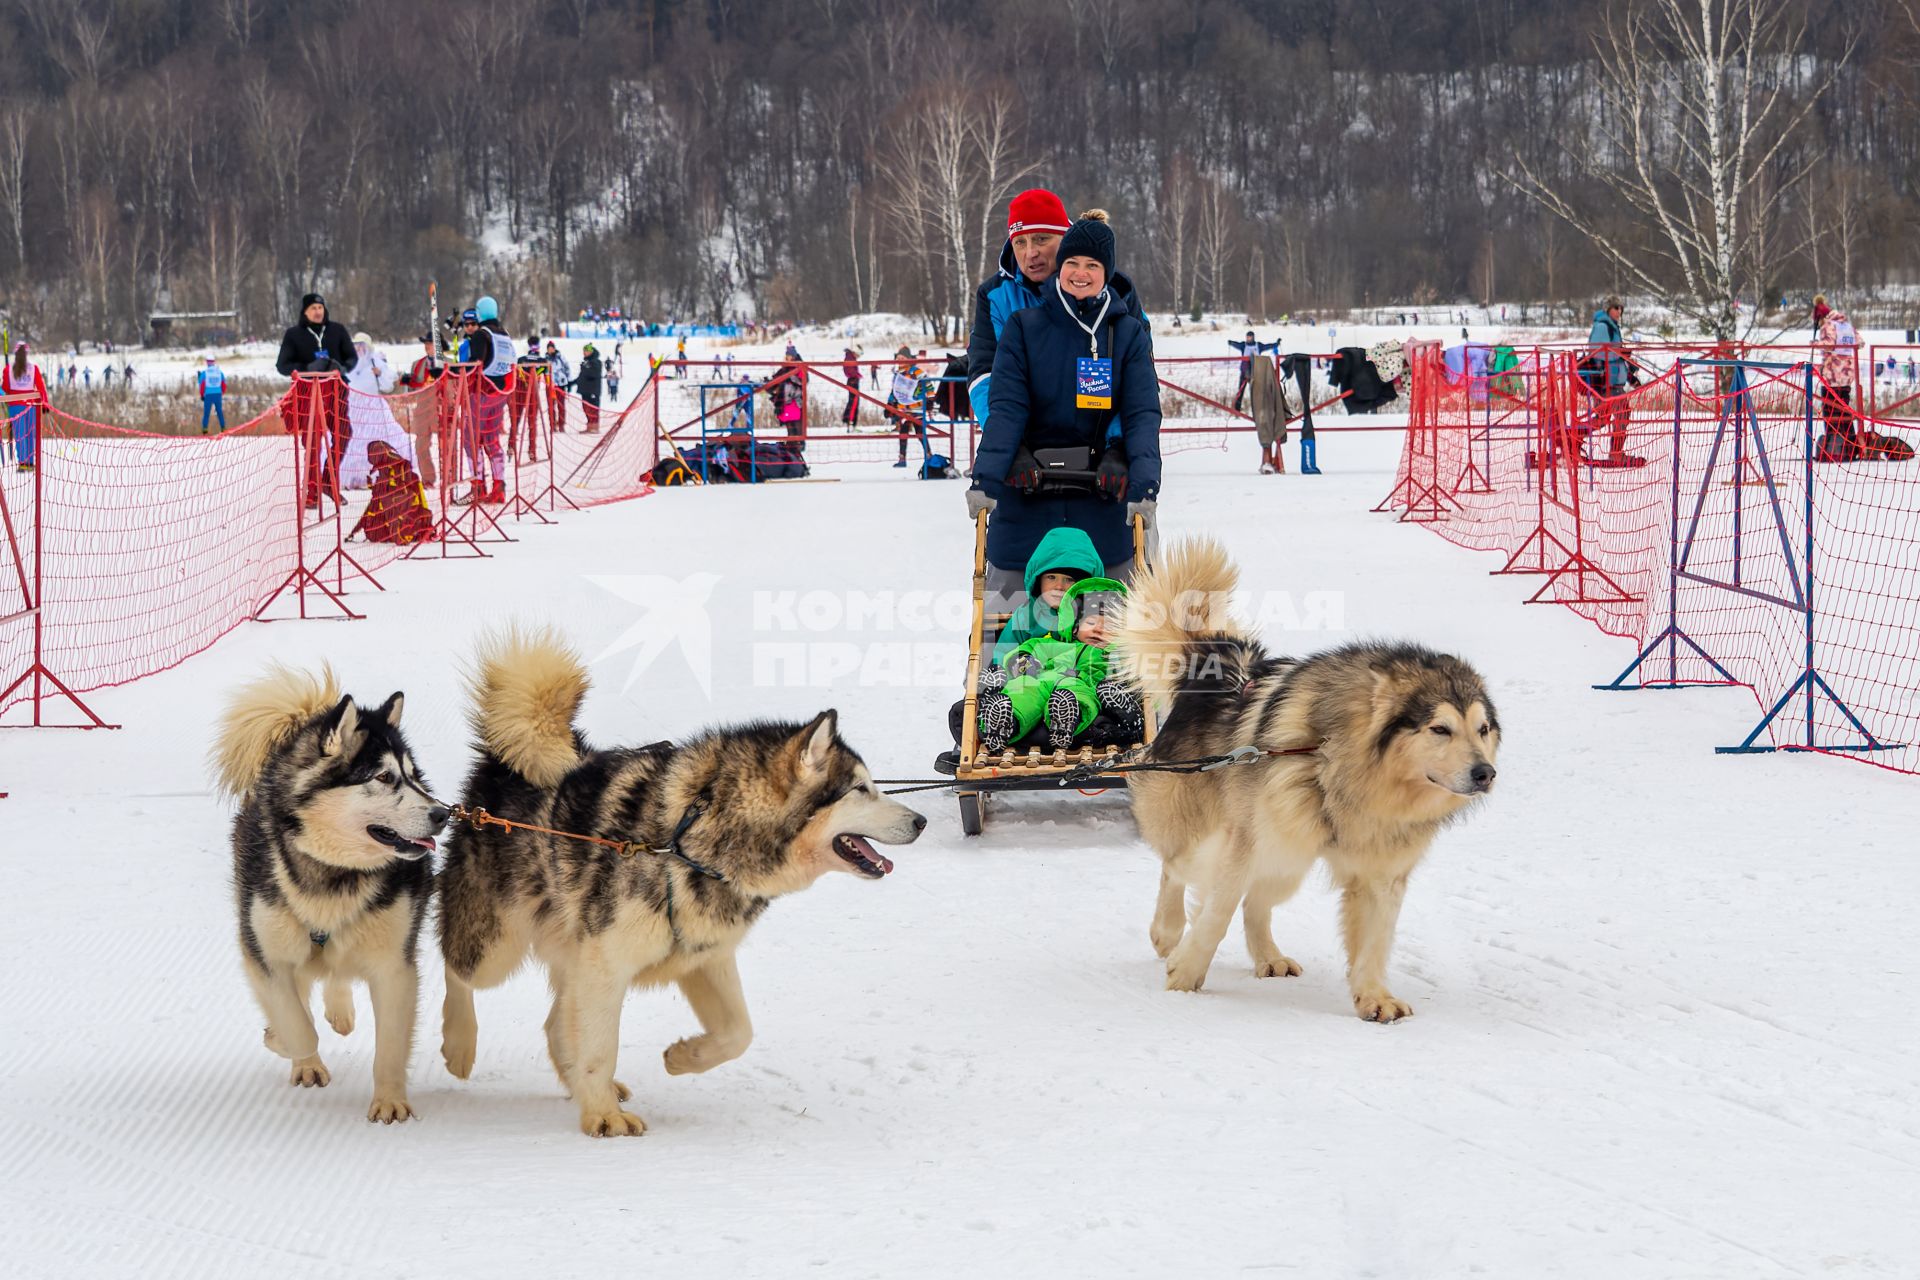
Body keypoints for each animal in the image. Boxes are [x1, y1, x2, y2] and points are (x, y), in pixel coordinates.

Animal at [216, 671, 447, 1120]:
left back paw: (340, 1011)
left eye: (414, 776)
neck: (333, 874)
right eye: (384, 777)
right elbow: (297, 1026)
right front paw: (283, 1042)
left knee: (335, 973)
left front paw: (390, 1102)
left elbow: (390, 1046)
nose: (444, 814)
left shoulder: (394, 965)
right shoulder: (265, 953)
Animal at [439, 625, 925, 1136]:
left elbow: (739, 1032)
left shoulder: (703, 957)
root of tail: (501, 763)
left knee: (556, 1024)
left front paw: (682, 1057)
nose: (922, 821)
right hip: (496, 947)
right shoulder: (607, 963)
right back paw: (460, 1044)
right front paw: (605, 1118)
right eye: (861, 789)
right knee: (457, 969)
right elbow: (600, 1048)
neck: (690, 839)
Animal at [1113, 541, 1497, 1020]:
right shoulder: (1246, 844)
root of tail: (1215, 655)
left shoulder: (1382, 871)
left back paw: (1268, 956)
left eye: (1483, 729)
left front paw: (1374, 996)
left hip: (1288, 859)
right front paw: (1185, 975)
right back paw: (1167, 931)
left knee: (1255, 903)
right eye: (1440, 729)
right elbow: (1216, 913)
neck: (1336, 762)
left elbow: (1375, 942)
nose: (1486, 773)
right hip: (1224, 834)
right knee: (1176, 867)